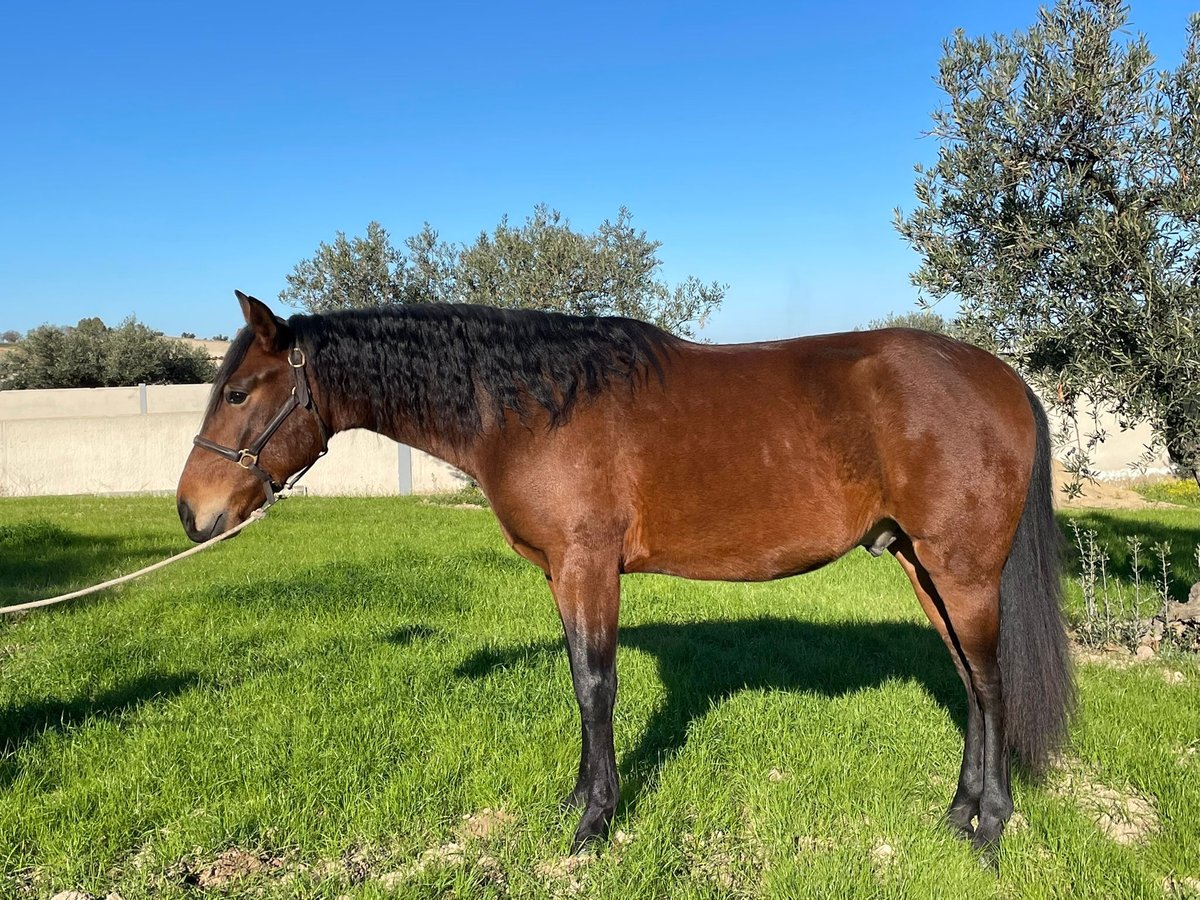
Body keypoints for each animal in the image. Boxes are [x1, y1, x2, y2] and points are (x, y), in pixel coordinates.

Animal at [180, 292, 1080, 854]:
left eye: (239, 392)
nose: (193, 513)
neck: (536, 405)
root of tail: (1004, 377)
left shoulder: (590, 566)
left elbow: (596, 685)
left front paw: (593, 825)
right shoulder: (562, 573)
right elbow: (580, 682)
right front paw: (578, 803)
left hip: (963, 573)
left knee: (990, 685)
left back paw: (991, 827)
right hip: (921, 567)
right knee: (968, 684)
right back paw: (957, 814)